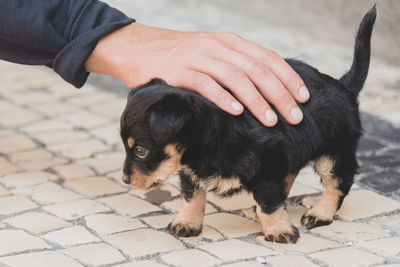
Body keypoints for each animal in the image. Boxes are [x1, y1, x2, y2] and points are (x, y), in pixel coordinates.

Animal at [120, 7, 376, 244]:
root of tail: (345, 87)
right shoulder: (190, 170)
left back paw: (320, 213)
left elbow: (269, 202)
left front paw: (279, 230)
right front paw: (186, 223)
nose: (125, 180)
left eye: (140, 151)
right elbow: (192, 197)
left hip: (333, 154)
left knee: (337, 184)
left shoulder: (267, 168)